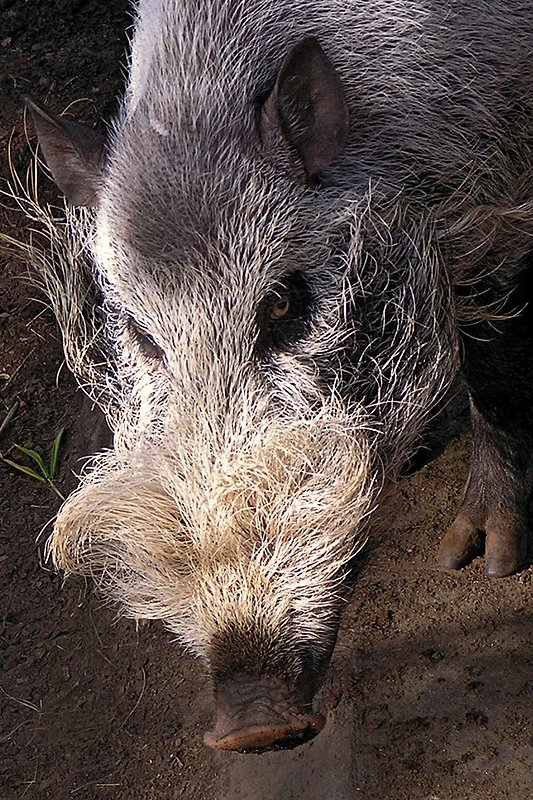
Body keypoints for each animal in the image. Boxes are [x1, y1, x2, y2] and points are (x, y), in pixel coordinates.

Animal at [13, 0, 533, 752]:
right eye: (141, 334)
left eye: (284, 302)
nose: (254, 725)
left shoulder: (497, 198)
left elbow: (496, 358)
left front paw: (482, 560)